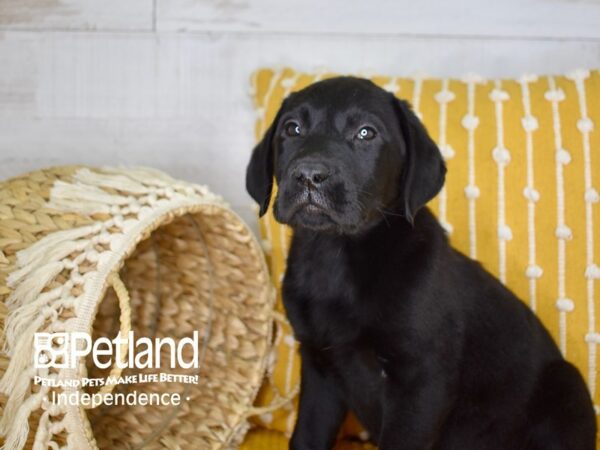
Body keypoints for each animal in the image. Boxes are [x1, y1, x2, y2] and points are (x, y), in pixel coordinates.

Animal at [245, 78, 596, 450]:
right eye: (292, 129)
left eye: (366, 133)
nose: (309, 174)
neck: (335, 257)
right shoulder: (319, 368)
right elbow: (306, 437)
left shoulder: (421, 382)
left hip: (566, 385)